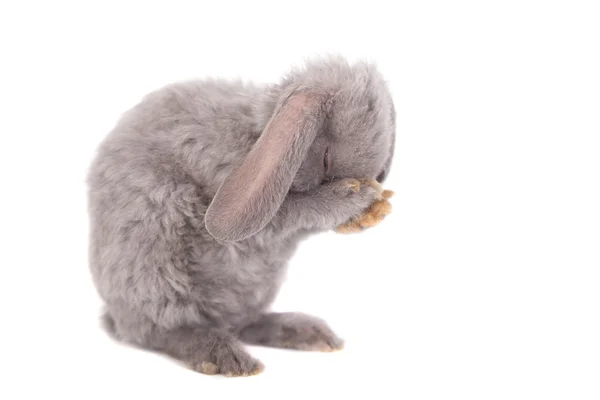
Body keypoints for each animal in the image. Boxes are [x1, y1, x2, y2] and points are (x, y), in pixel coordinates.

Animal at [86, 54, 396, 376]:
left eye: (379, 173)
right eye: (325, 159)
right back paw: (224, 357)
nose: (370, 184)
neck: (255, 135)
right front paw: (355, 199)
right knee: (158, 330)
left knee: (242, 323)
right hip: (154, 267)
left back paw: (309, 333)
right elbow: (291, 212)